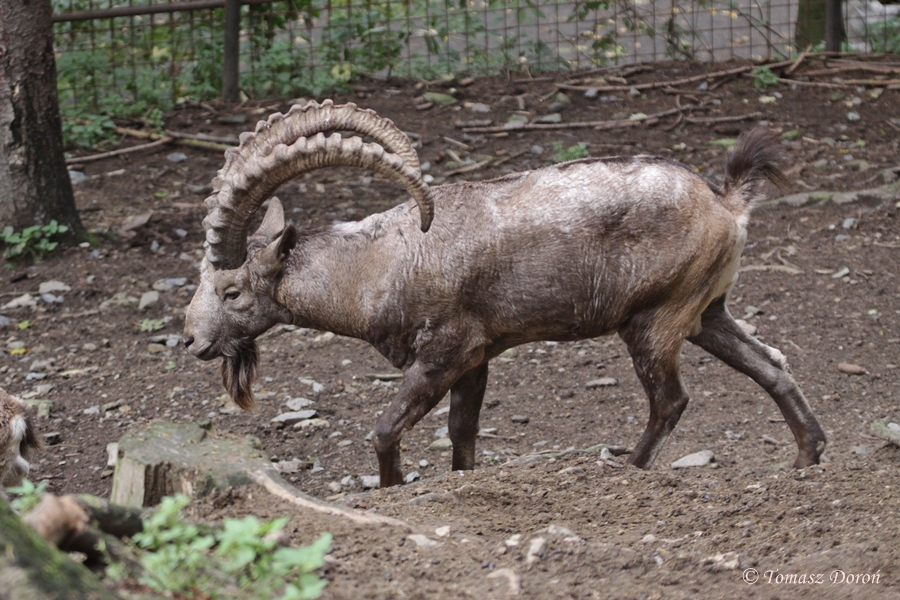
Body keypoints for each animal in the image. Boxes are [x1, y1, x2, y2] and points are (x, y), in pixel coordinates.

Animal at [183, 100, 827, 487]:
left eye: (233, 291)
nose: (191, 340)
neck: (375, 267)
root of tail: (726, 205)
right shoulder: (477, 359)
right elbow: (461, 432)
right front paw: (462, 483)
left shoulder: (446, 350)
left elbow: (386, 428)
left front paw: (389, 492)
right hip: (705, 311)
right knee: (771, 362)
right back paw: (807, 456)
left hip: (654, 320)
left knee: (671, 400)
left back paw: (629, 470)